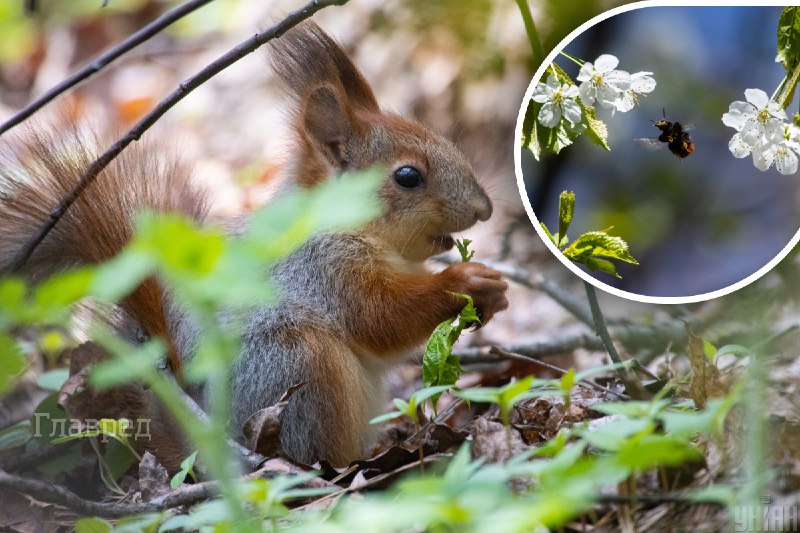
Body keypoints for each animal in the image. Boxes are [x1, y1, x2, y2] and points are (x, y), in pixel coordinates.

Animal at [0, 23, 510, 466]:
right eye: (407, 176)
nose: (484, 209)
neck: (339, 224)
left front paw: (494, 296)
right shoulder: (323, 269)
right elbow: (382, 315)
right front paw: (466, 280)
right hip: (299, 364)